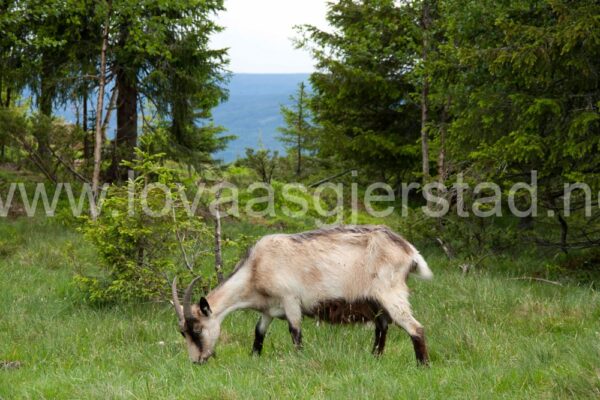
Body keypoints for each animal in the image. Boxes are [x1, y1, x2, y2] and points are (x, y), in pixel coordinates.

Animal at [171, 225, 434, 366]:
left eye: (197, 330)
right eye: (183, 332)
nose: (196, 361)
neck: (256, 269)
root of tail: (409, 251)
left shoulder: (290, 300)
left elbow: (295, 332)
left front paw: (298, 361)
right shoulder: (269, 310)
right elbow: (258, 333)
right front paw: (254, 357)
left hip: (390, 292)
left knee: (415, 328)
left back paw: (422, 366)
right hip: (373, 301)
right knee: (382, 327)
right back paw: (374, 358)